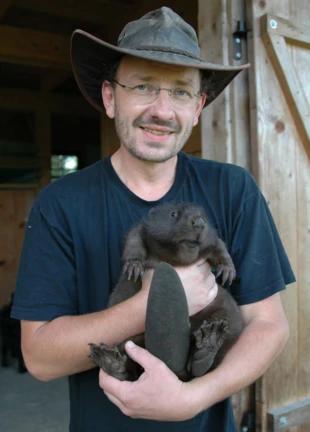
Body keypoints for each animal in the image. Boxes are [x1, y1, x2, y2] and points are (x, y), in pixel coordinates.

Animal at [88, 202, 243, 382]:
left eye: (203, 216)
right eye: (174, 214)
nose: (199, 222)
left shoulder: (211, 237)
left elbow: (219, 246)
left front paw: (228, 270)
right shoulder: (142, 229)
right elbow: (134, 240)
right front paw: (134, 268)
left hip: (229, 314)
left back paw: (207, 345)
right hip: (128, 336)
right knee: (130, 368)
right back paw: (109, 361)